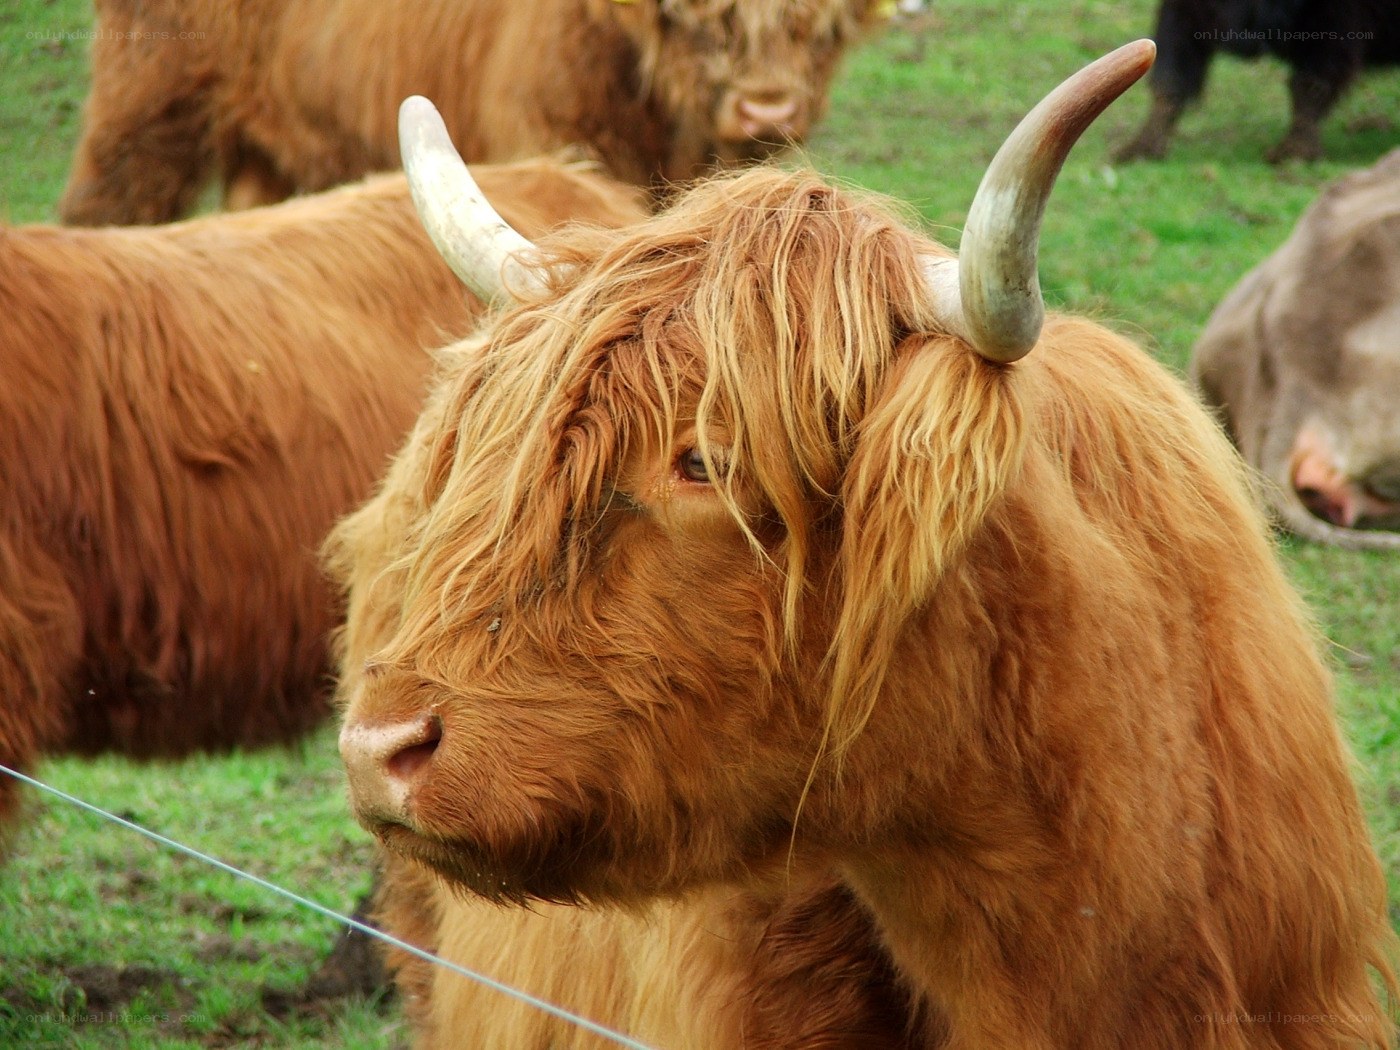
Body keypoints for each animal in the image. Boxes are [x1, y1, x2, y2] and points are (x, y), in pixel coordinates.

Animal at [1114, 0, 1399, 162]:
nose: (1246, 40)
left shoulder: (1338, 26)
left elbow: (1310, 86)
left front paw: (1293, 152)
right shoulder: (1182, 16)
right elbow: (1170, 81)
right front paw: (1139, 149)